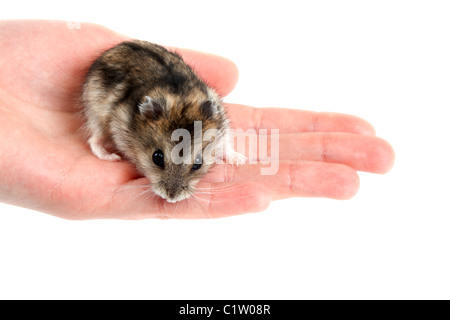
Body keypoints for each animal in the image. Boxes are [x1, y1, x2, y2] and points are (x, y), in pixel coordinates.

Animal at [81, 38, 243, 201]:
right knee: (94, 140)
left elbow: (226, 145)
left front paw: (240, 161)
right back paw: (112, 157)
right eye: (157, 157)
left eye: (198, 163)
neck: (181, 102)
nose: (171, 198)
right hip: (97, 115)